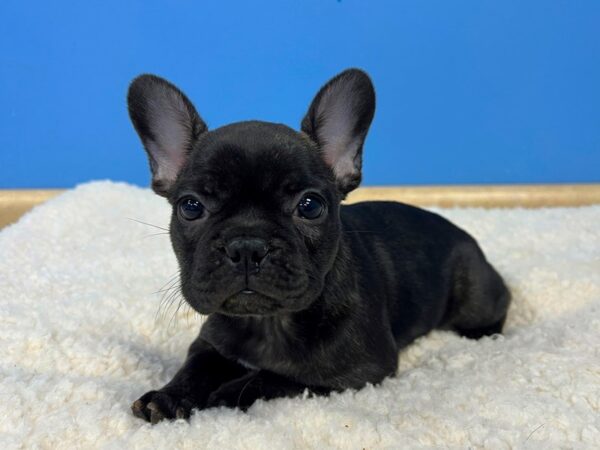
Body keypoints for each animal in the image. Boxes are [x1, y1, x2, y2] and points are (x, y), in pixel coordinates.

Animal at [126, 68, 510, 424]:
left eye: (310, 206)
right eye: (191, 207)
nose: (247, 245)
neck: (268, 323)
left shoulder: (357, 371)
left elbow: (279, 377)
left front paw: (227, 393)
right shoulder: (210, 343)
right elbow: (195, 367)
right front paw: (168, 396)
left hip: (475, 295)